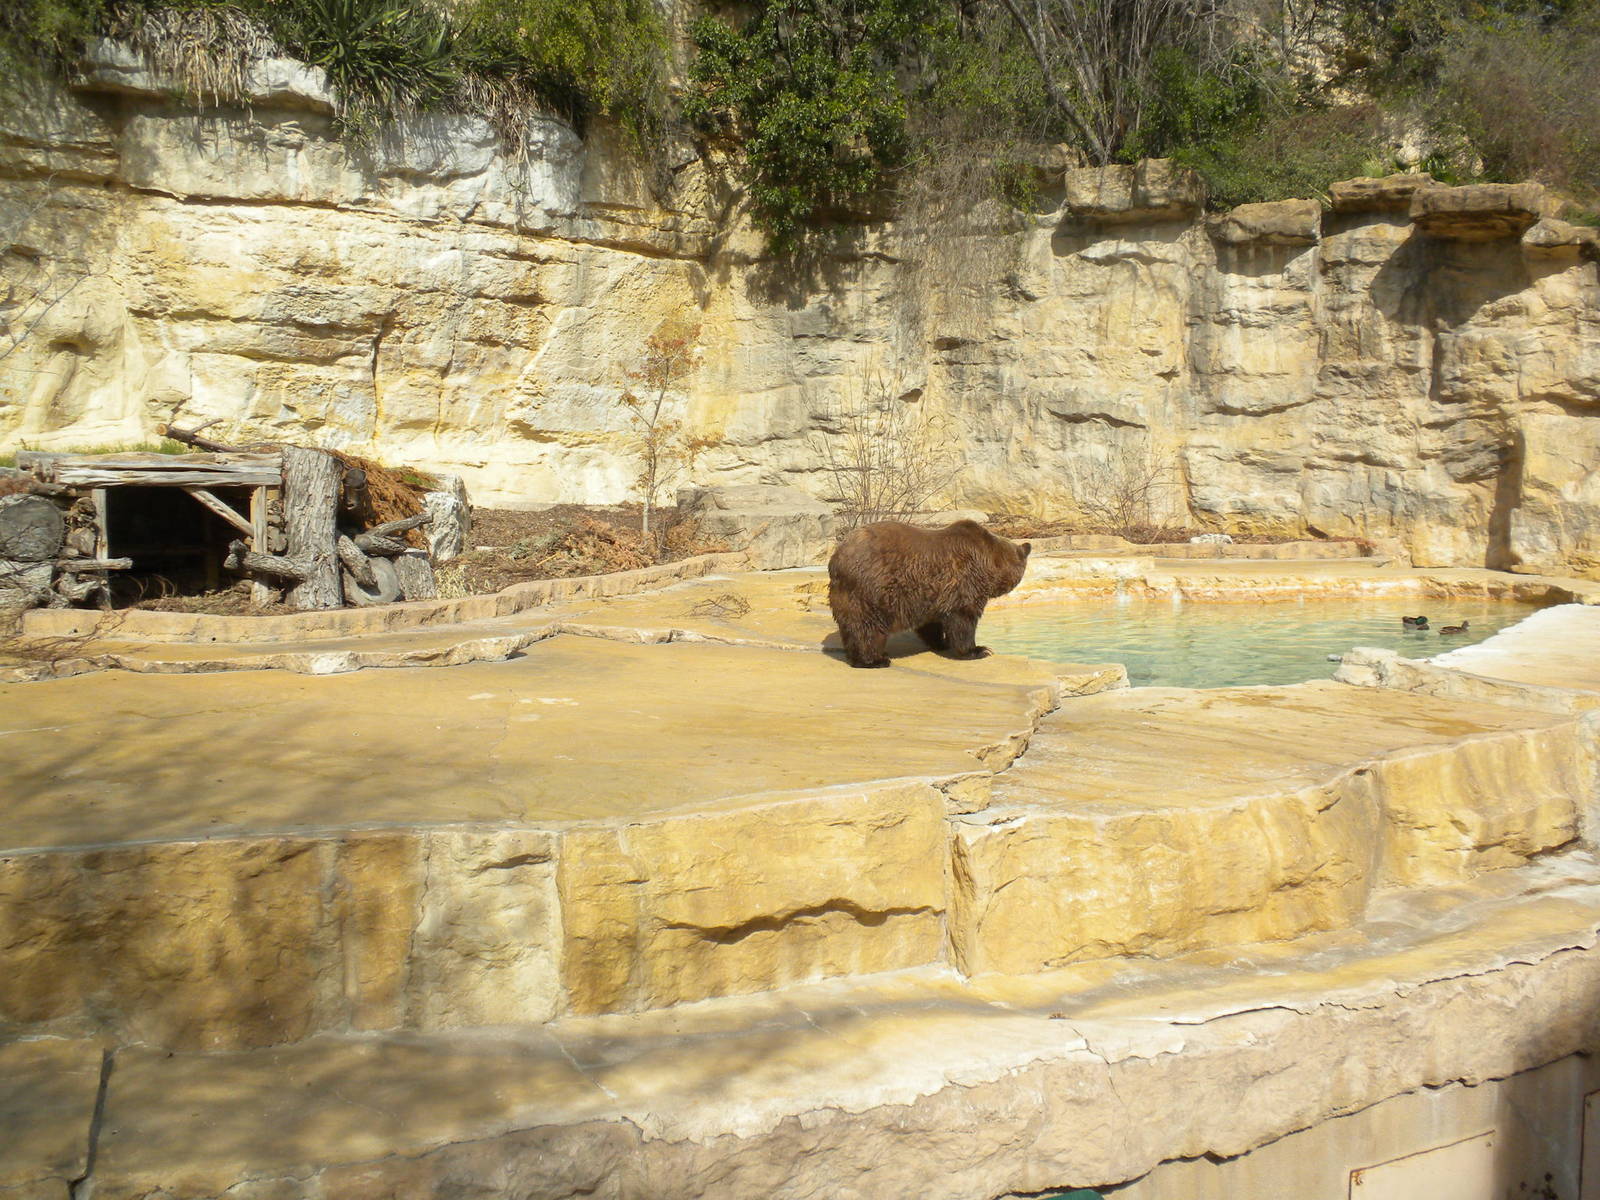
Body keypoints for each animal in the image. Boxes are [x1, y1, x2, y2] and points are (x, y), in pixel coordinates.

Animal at [827, 519, 1032, 668]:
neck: (990, 562)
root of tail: (837, 559)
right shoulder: (965, 581)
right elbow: (963, 618)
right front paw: (978, 650)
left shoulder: (931, 594)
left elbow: (932, 622)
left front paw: (941, 642)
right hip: (871, 590)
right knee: (867, 626)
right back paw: (875, 660)